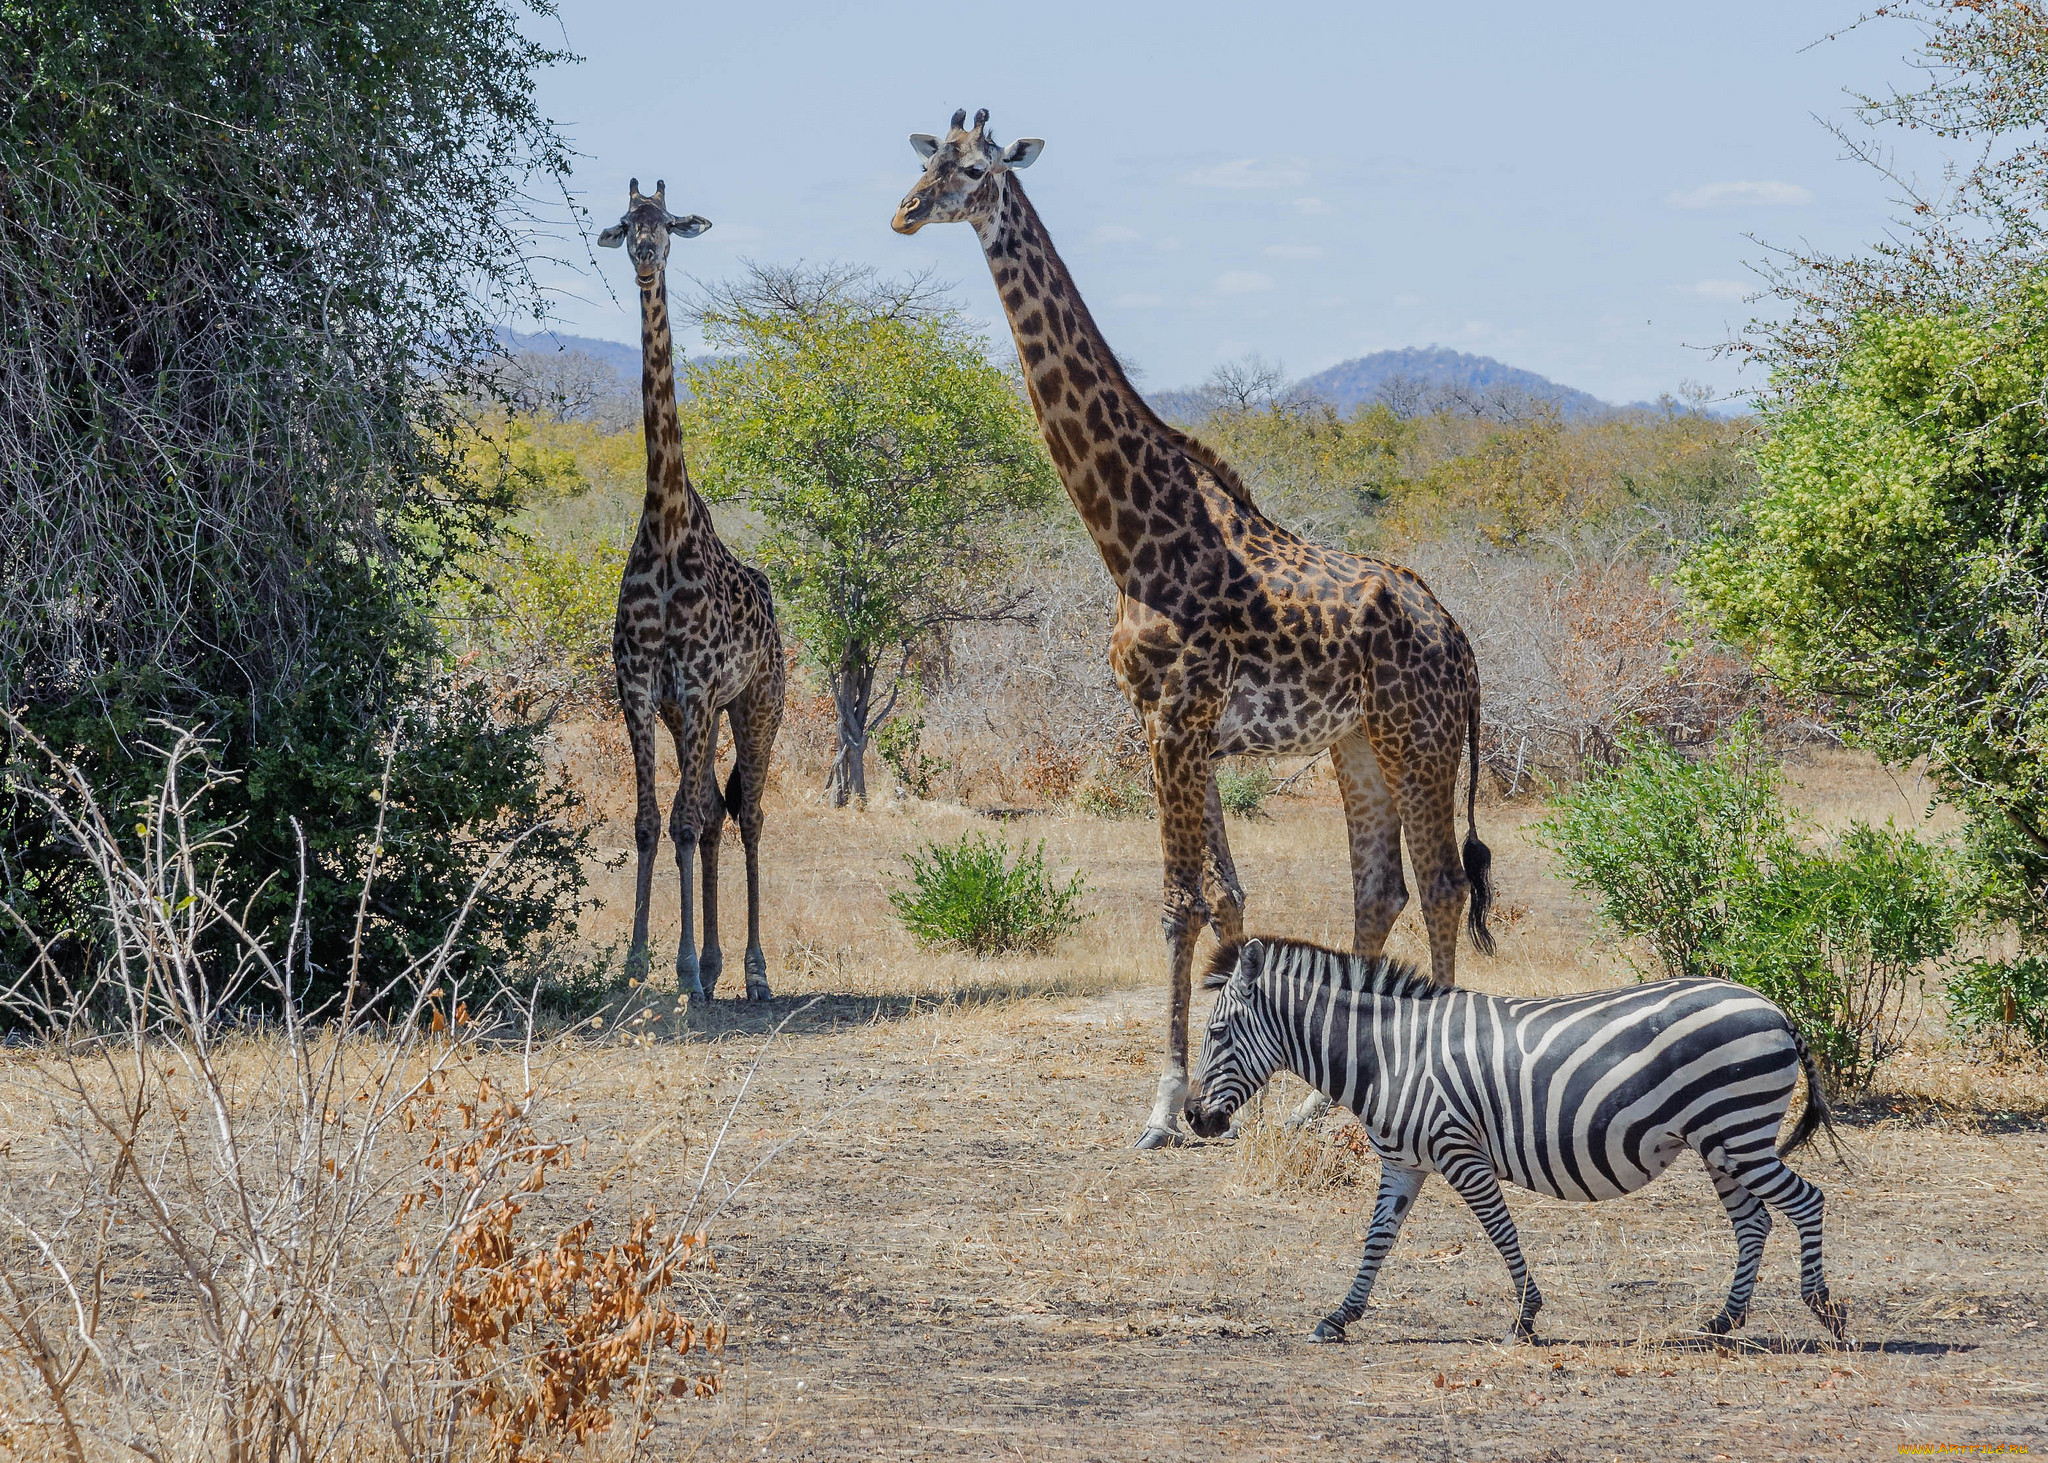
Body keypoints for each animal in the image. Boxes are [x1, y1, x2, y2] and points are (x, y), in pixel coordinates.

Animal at [888, 111, 1499, 1139]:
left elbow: (1178, 902)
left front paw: (1164, 1101)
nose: (903, 213)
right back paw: (1322, 1103)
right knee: (1379, 889)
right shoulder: (1178, 725)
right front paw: (1242, 1084)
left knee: (1444, 886)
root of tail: (1457, 636)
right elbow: (1226, 895)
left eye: (975, 172)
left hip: (1421, 738)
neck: (1133, 534)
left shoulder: (1176, 718)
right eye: (924, 162)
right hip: (1357, 744)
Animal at [1179, 938, 1851, 1335]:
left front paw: (1526, 1316)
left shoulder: (1459, 1150)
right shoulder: (1403, 1162)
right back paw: (1724, 1321)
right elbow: (1377, 1241)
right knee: (1754, 1221)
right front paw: (1339, 1317)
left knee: (1806, 1202)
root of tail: (1774, 1008)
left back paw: (1825, 1310)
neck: (1390, 1054)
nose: (1193, 1120)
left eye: (1216, 1034)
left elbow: (1501, 1231)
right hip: (1721, 1144)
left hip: (1738, 1133)